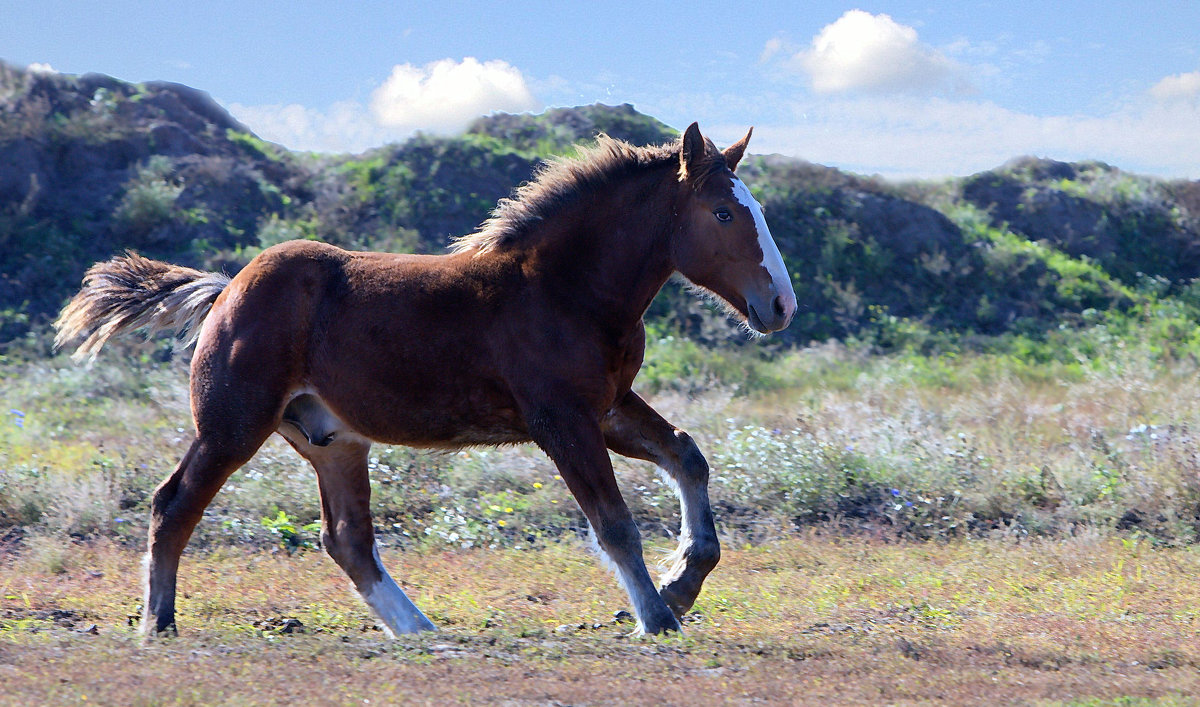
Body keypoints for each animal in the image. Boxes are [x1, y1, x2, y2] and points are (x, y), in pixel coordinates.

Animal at [56, 124, 796, 638]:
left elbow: (687, 453)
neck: (565, 288)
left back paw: (418, 628)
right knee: (173, 503)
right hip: (233, 424)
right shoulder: (562, 419)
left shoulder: (607, 407)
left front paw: (683, 581)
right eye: (724, 214)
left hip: (333, 441)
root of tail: (225, 290)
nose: (780, 305)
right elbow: (613, 522)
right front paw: (656, 615)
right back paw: (157, 622)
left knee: (347, 539)